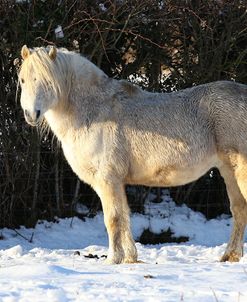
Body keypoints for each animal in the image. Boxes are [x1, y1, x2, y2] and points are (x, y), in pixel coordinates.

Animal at [19, 45, 247, 264]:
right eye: (22, 80)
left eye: (47, 81)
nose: (31, 114)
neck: (93, 111)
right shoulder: (116, 182)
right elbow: (124, 217)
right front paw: (129, 258)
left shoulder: (108, 180)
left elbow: (112, 219)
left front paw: (113, 259)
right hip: (228, 171)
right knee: (238, 209)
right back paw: (229, 256)